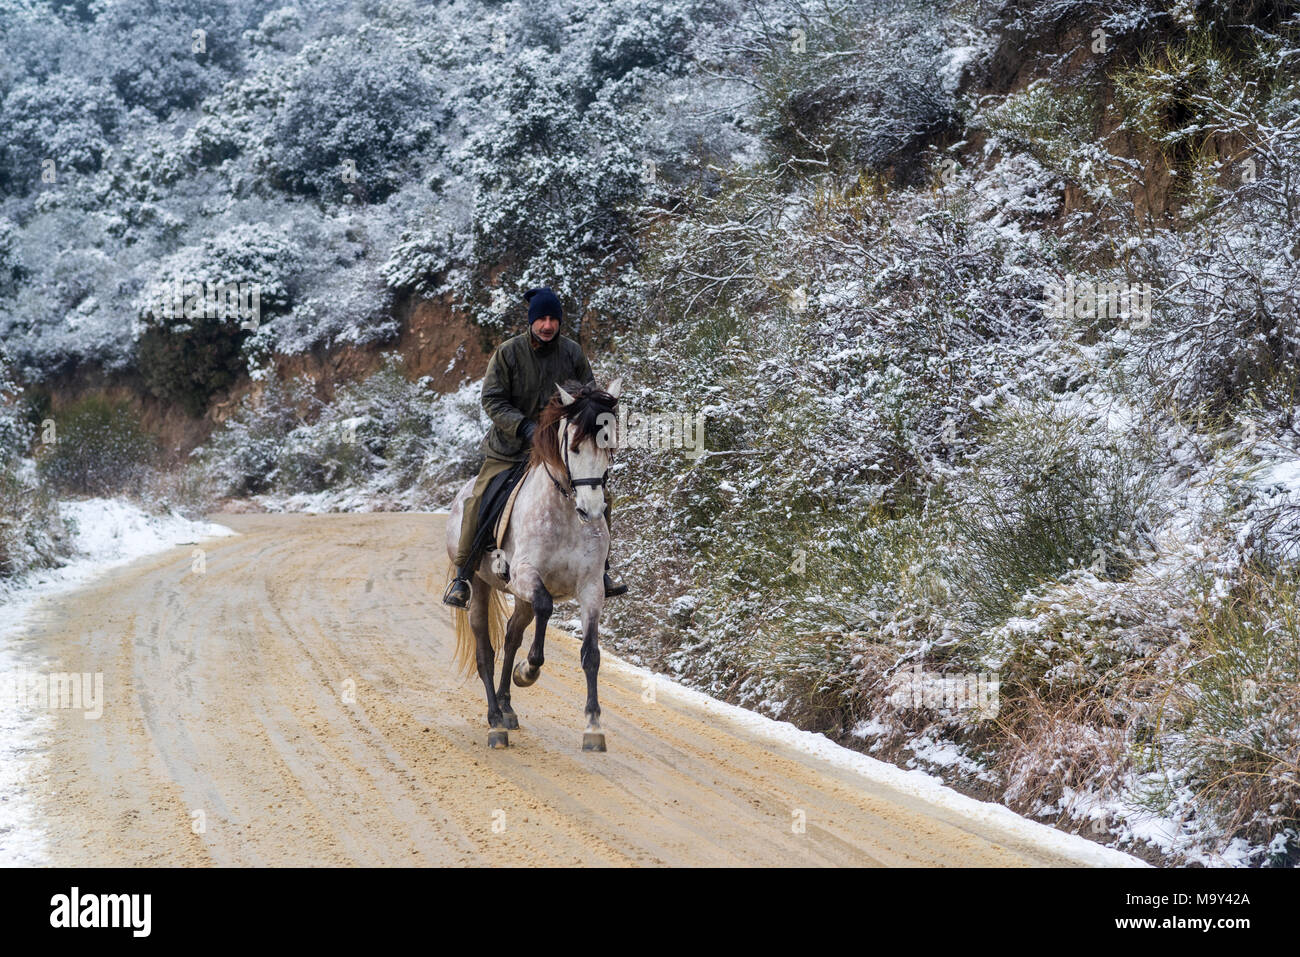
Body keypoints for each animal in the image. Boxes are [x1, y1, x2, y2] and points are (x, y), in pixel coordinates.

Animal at [444, 378, 622, 751]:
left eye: (609, 444)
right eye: (574, 448)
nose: (591, 511)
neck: (565, 510)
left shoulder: (591, 589)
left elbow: (591, 654)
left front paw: (593, 727)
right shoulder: (526, 576)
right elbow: (544, 608)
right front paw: (528, 671)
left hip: (521, 598)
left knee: (512, 636)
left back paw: (507, 708)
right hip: (480, 586)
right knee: (486, 651)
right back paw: (495, 723)